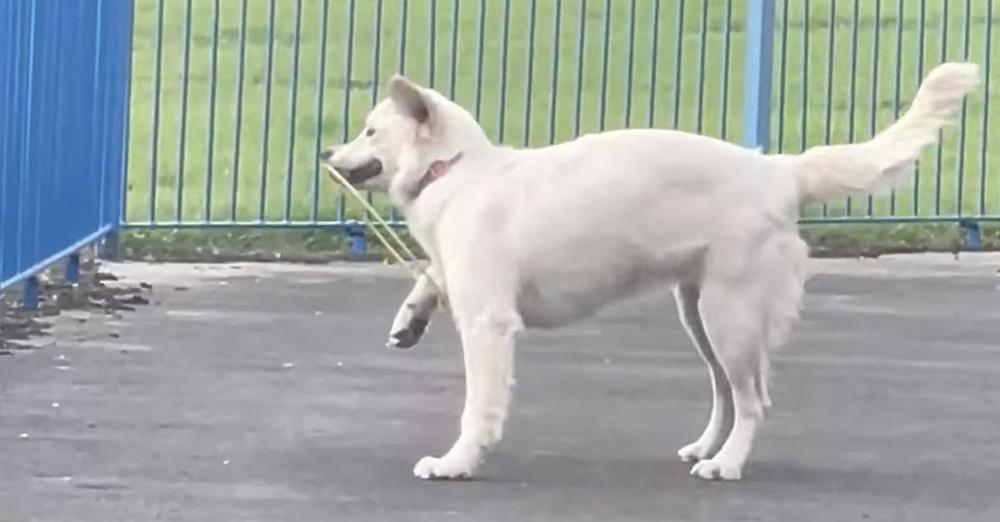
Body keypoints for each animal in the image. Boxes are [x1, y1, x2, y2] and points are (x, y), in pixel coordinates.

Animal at [324, 63, 980, 482]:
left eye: (370, 131)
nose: (327, 154)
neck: (459, 169)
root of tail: (779, 170)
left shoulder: (488, 324)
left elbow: (477, 408)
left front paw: (457, 462)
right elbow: (429, 277)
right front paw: (409, 319)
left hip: (729, 317)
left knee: (755, 400)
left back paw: (727, 464)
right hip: (699, 314)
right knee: (726, 392)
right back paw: (706, 447)